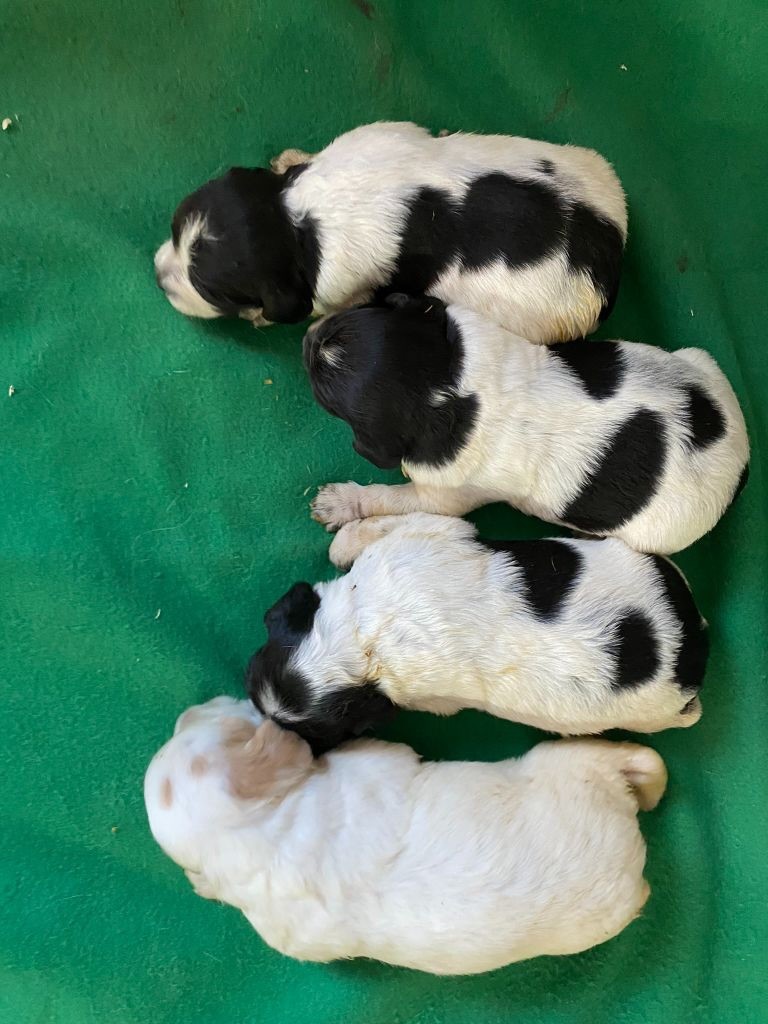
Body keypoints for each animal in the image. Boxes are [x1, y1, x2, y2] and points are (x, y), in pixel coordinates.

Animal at [145, 696, 666, 974]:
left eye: (204, 720)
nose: (197, 704)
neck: (260, 834)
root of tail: (629, 863)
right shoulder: (376, 759)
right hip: (565, 759)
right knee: (633, 758)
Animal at [154, 121, 627, 342]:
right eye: (174, 229)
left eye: (214, 292)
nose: (158, 276)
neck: (299, 215)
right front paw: (291, 158)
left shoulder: (340, 287)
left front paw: (258, 317)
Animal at [246, 513, 707, 751]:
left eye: (319, 734)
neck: (366, 637)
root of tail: (692, 649)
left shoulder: (429, 532)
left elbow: (381, 529)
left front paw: (342, 543)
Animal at [307, 295, 750, 554]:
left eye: (323, 392)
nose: (308, 337)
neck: (449, 385)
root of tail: (742, 461)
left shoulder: (446, 492)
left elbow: (390, 497)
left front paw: (342, 504)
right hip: (699, 359)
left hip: (655, 533)